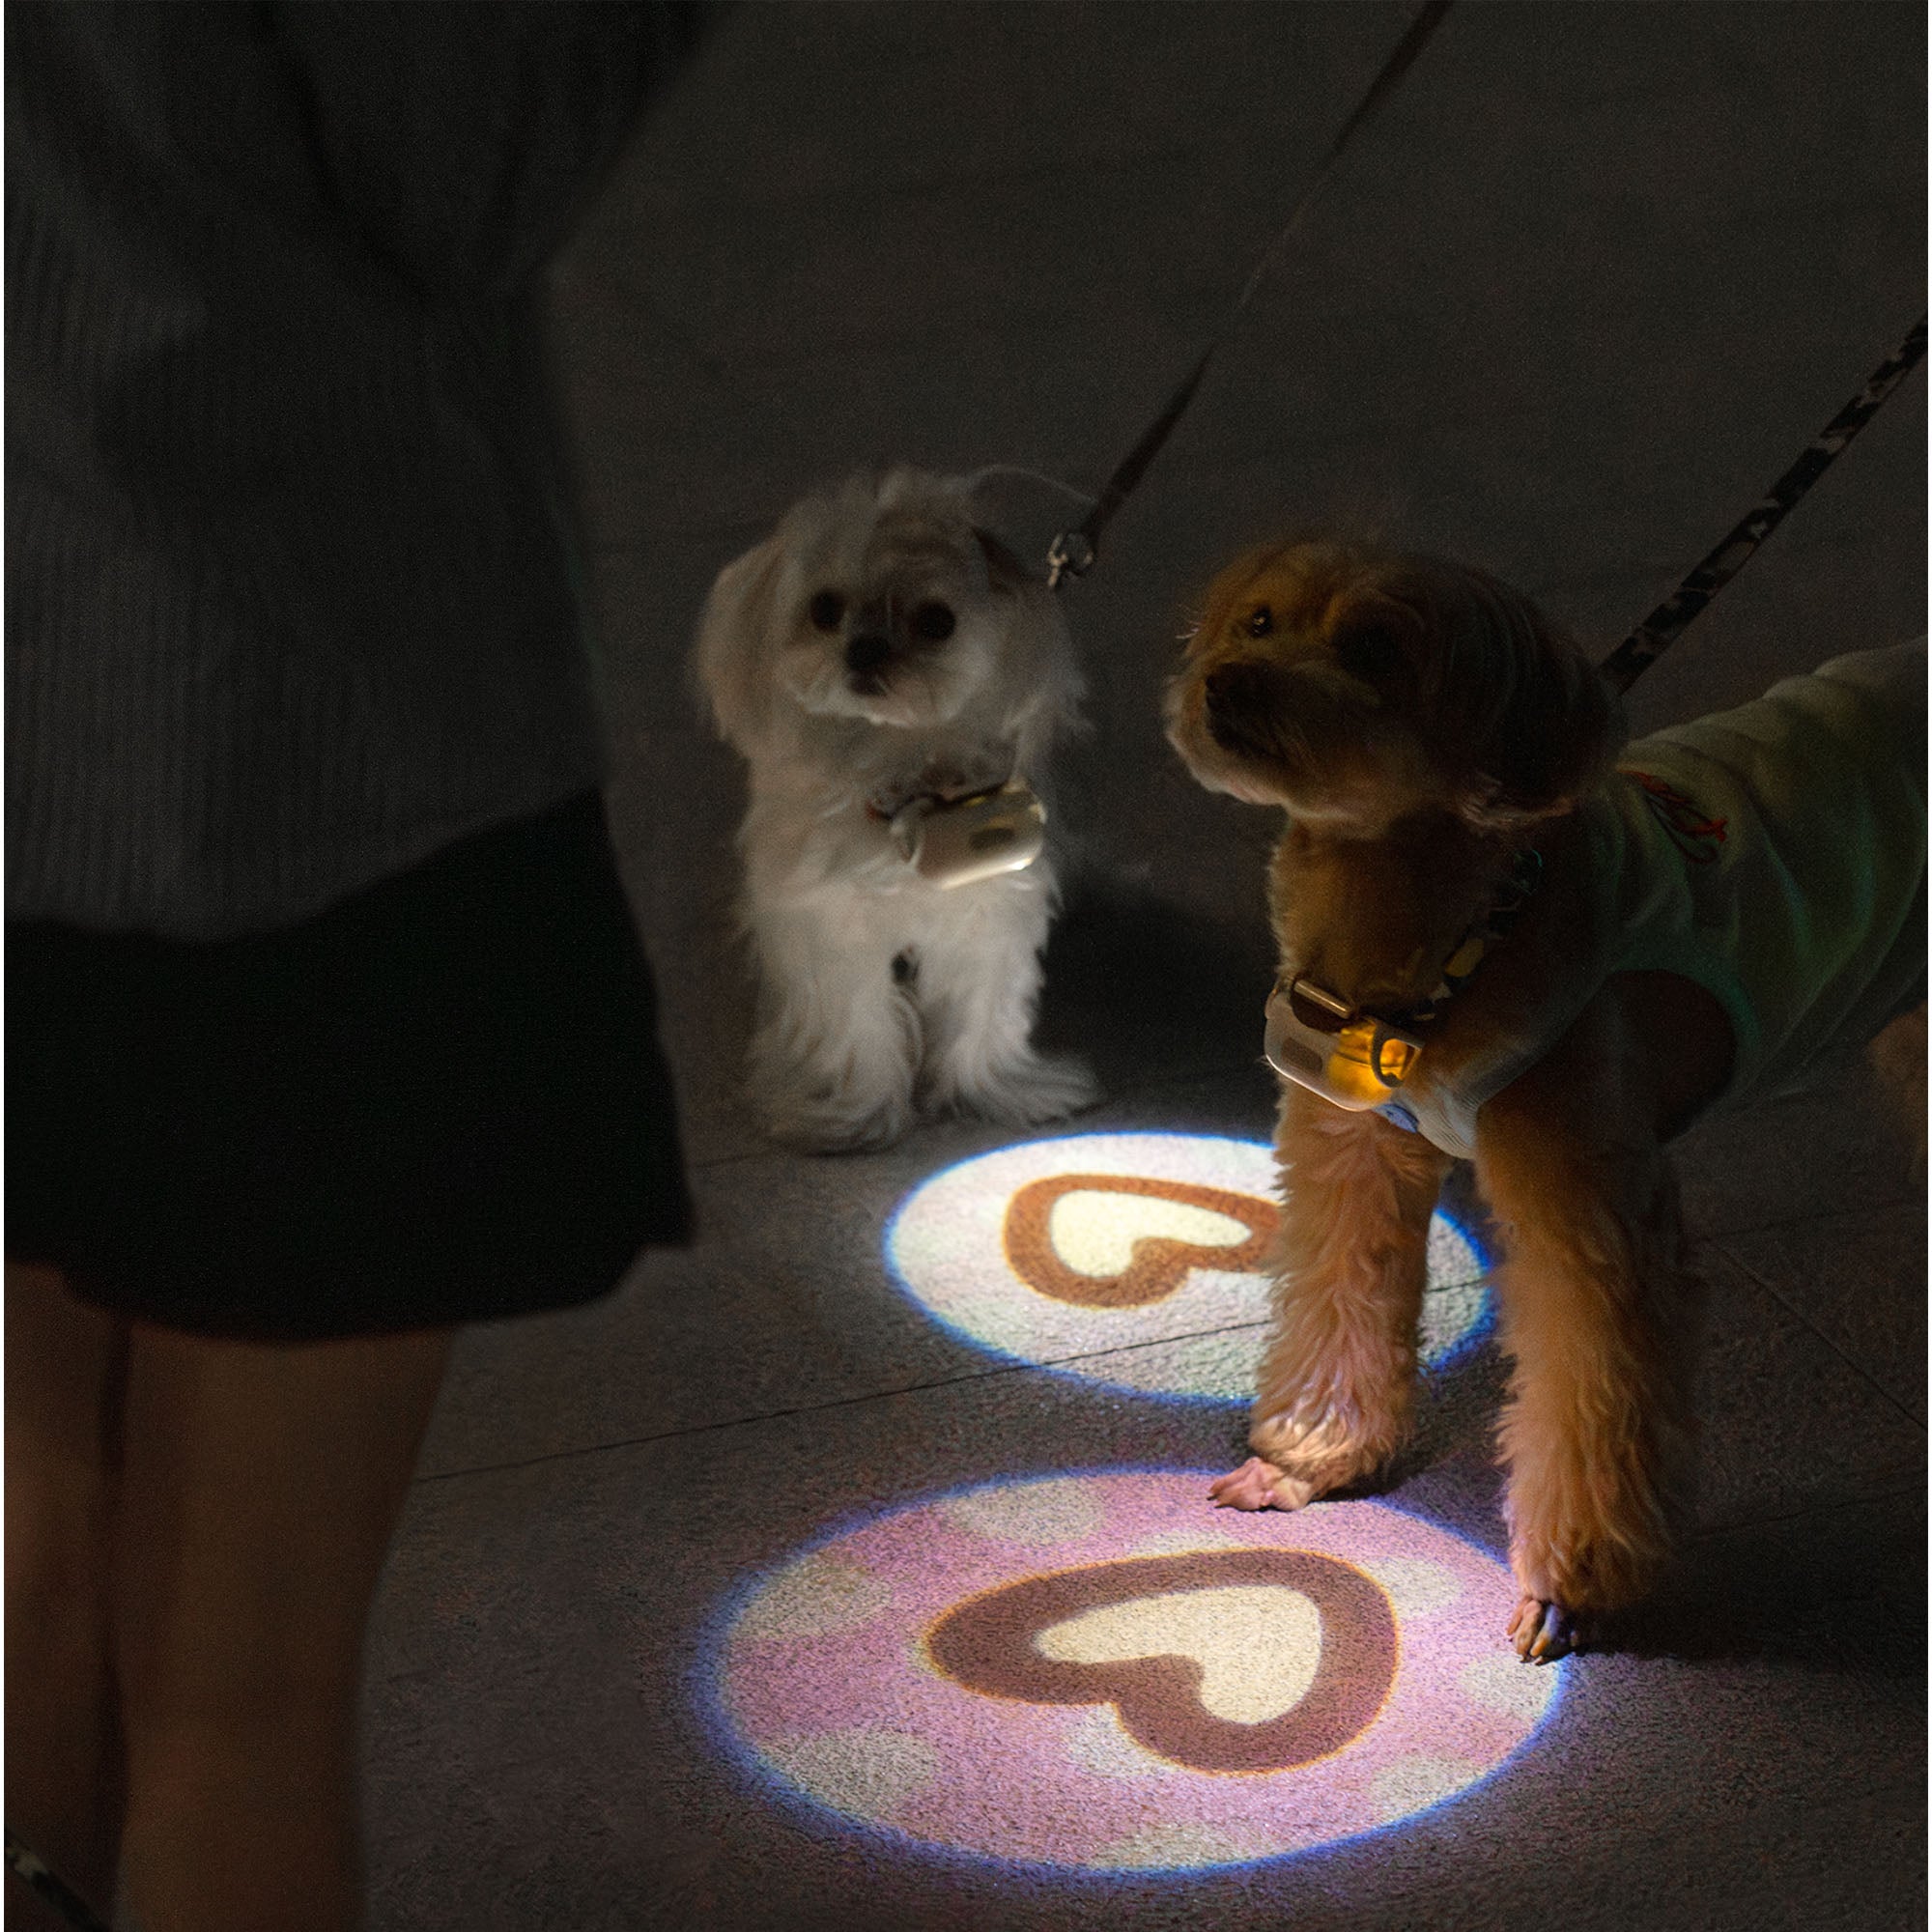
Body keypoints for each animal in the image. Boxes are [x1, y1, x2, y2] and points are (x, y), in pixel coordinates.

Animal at [696, 471, 1097, 1144]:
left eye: (937, 621)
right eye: (824, 609)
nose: (864, 649)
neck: (901, 777)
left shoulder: (990, 912)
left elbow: (982, 1015)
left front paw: (995, 1092)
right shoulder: (832, 922)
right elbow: (855, 1025)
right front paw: (852, 1115)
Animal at [1167, 541, 1924, 1662]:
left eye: (1375, 648)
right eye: (1258, 622)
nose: (1227, 682)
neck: (1459, 920)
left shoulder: (1595, 1225)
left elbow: (1591, 1395)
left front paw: (1571, 1585)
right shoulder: (1348, 1151)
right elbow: (1338, 1294)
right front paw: (1309, 1457)